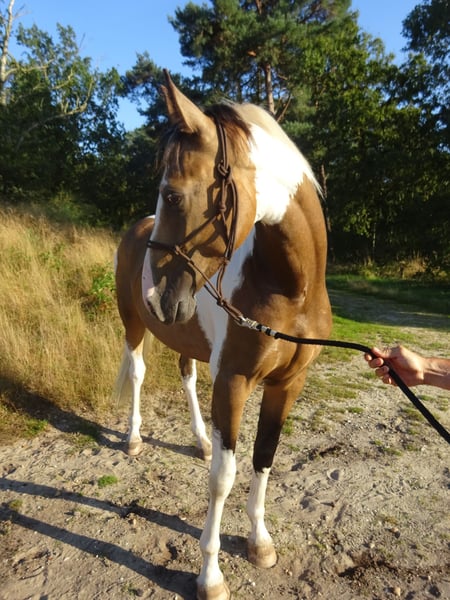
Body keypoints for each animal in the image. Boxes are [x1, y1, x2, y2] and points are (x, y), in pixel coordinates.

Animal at [114, 70, 332, 600]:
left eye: (173, 194)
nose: (157, 295)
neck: (290, 288)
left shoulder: (286, 384)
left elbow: (263, 457)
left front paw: (260, 542)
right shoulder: (233, 380)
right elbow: (223, 478)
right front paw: (210, 575)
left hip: (183, 334)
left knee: (187, 377)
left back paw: (199, 440)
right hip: (133, 325)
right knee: (138, 372)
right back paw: (133, 438)